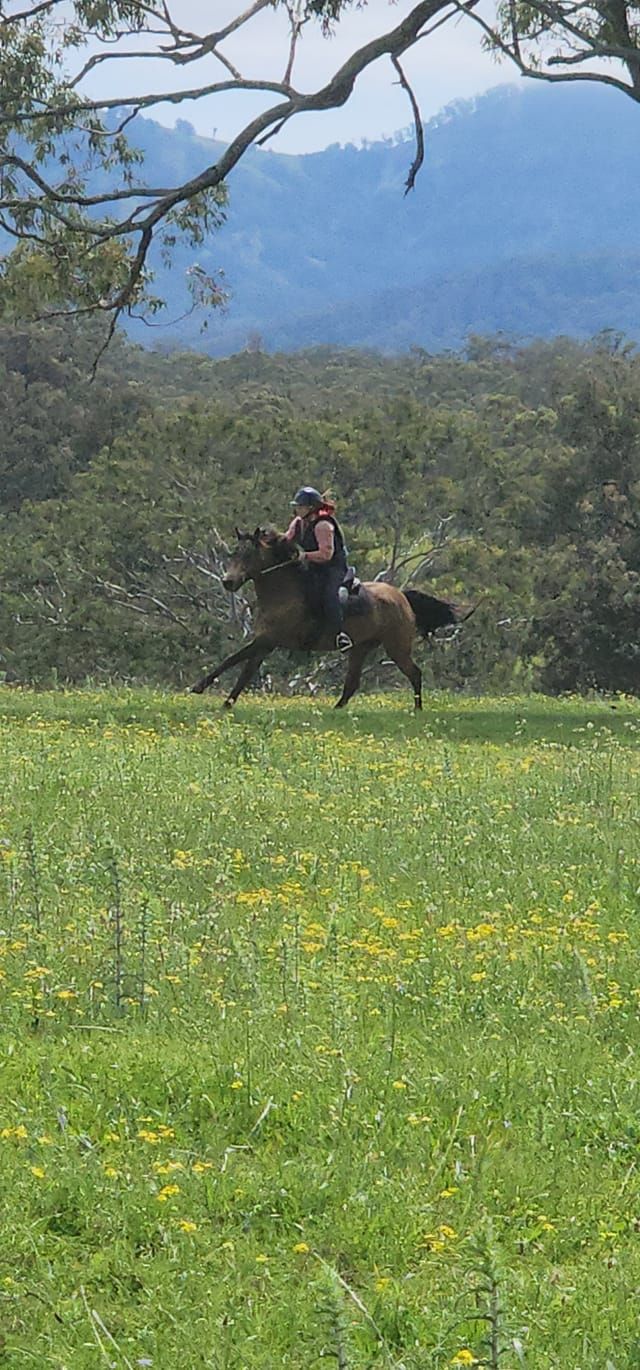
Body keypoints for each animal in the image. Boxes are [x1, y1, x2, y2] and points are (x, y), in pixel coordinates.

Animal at [190, 526, 465, 712]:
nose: (228, 582)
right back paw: (336, 710)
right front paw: (224, 701)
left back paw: (417, 710)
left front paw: (200, 688)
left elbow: (234, 660)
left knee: (414, 674)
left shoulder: (268, 641)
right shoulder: (264, 643)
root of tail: (401, 596)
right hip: (361, 648)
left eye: (248, 556)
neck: (283, 592)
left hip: (396, 647)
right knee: (352, 683)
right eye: (233, 554)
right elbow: (243, 670)